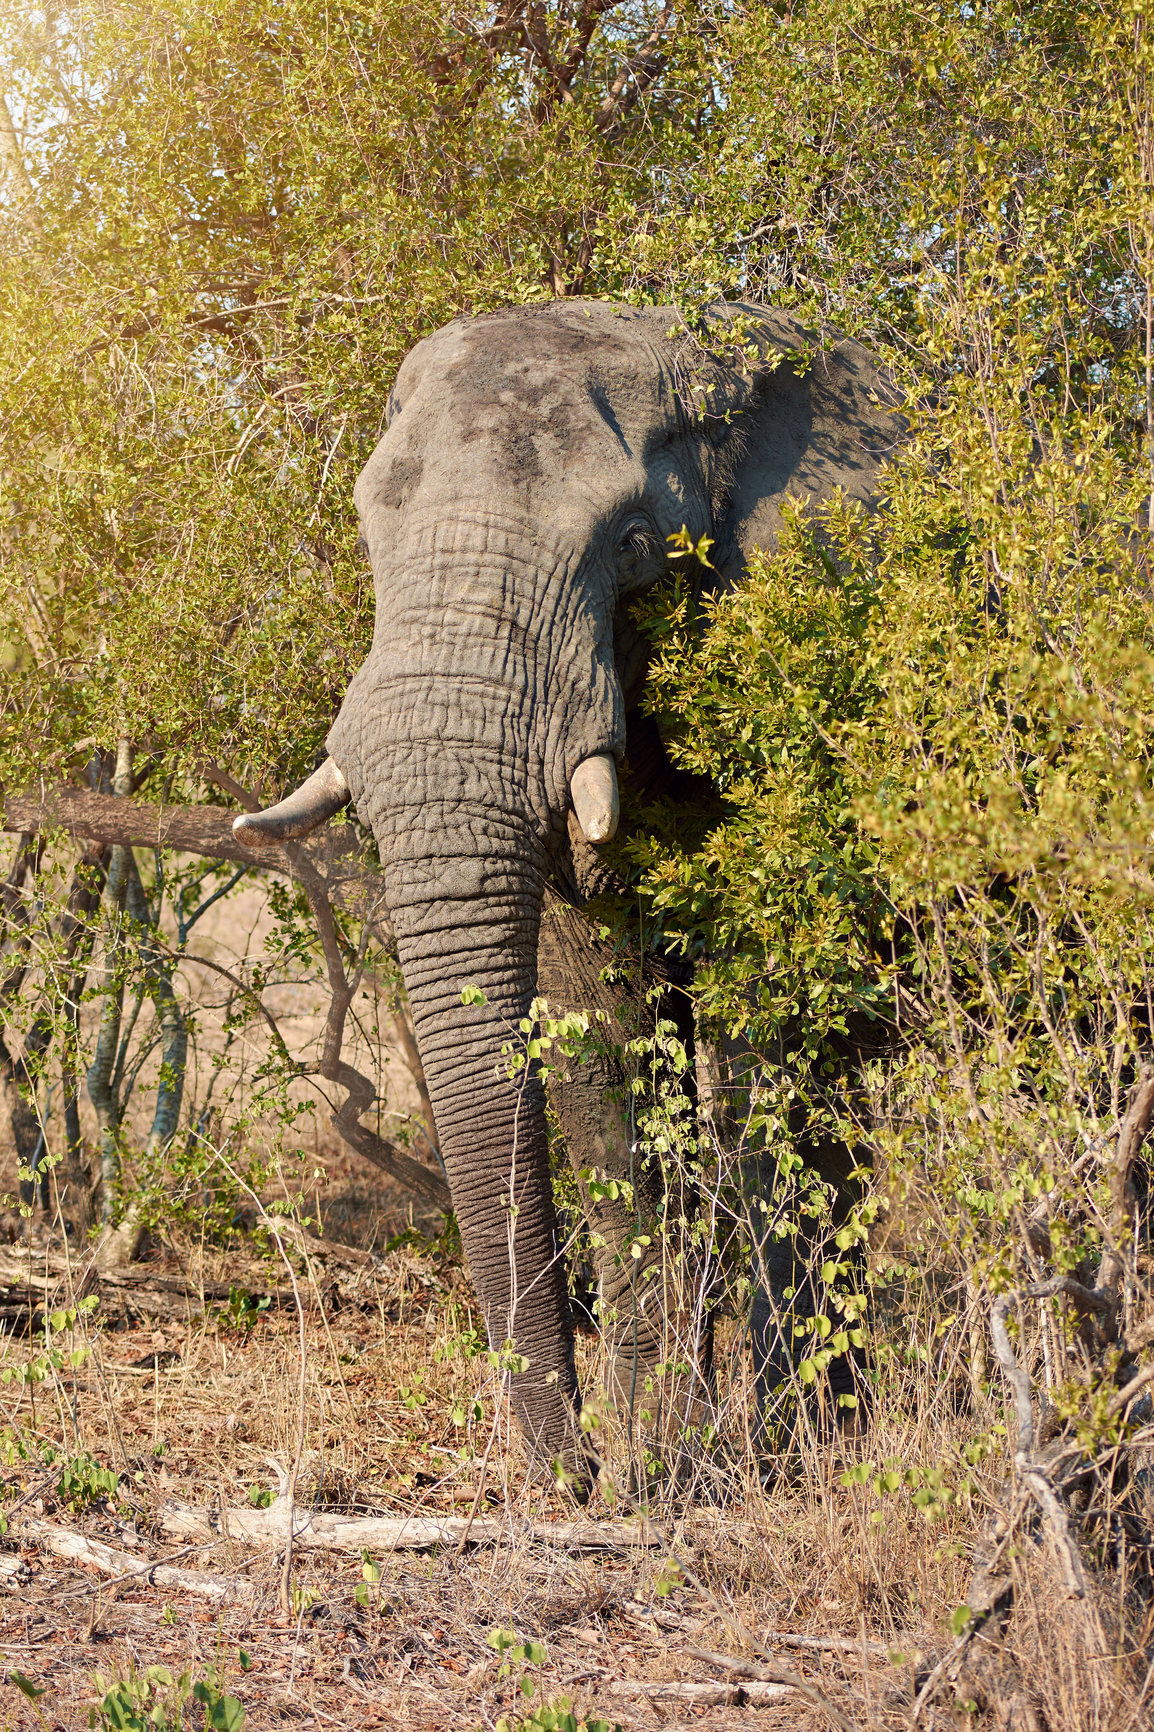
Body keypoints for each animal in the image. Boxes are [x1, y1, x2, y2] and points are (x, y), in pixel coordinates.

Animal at [233, 301, 894, 1489]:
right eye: (367, 531)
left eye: (629, 544)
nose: (563, 1470)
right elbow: (599, 1038)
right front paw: (650, 1465)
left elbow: (770, 1029)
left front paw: (773, 1466)